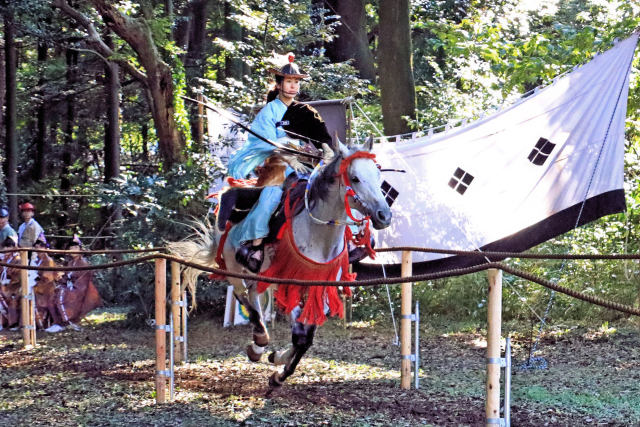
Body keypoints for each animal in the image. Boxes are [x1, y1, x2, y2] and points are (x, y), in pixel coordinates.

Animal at [172, 140, 392, 388]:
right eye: (354, 178)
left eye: (377, 174)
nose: (384, 215)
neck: (317, 236)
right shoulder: (289, 285)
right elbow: (300, 335)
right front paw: (280, 369)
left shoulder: (319, 289)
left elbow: (305, 336)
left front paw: (280, 363)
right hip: (233, 266)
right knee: (242, 295)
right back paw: (259, 341)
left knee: (254, 296)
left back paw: (260, 345)